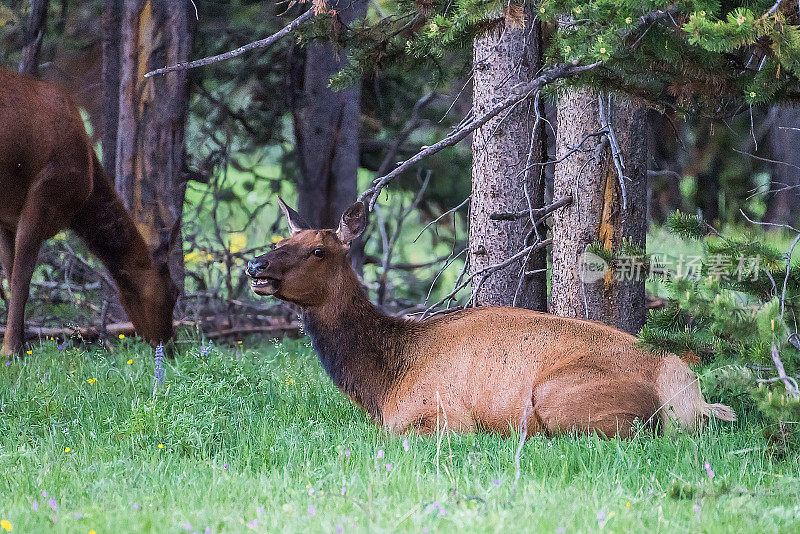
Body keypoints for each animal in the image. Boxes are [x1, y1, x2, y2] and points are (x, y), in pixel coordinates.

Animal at [0, 69, 178, 358]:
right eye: (174, 293)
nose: (170, 347)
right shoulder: (44, 197)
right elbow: (22, 279)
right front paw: (11, 349)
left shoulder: (7, 216)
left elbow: (9, 271)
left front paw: (20, 344)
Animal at [245, 201, 736, 440]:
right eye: (280, 240)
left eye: (318, 249)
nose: (255, 266)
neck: (382, 383)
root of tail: (685, 390)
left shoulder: (439, 417)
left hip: (561, 396)